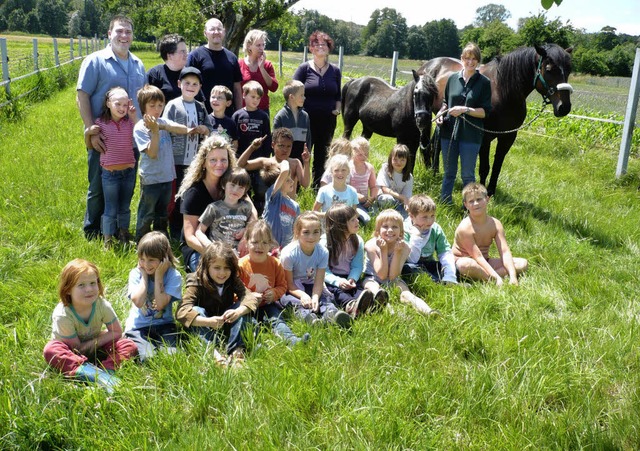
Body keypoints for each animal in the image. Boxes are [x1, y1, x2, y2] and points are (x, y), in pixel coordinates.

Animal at [420, 43, 576, 196]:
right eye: (549, 69)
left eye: (569, 70)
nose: (564, 107)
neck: (502, 91)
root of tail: (428, 65)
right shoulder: (484, 137)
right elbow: (484, 167)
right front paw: (482, 191)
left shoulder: (508, 137)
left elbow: (497, 165)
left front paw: (491, 191)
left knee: (436, 143)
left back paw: (433, 170)